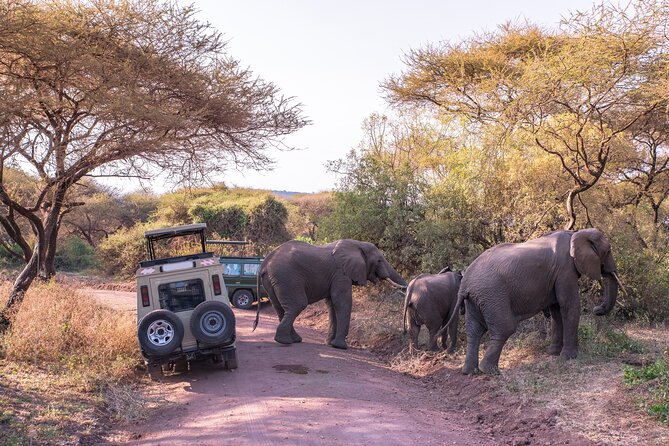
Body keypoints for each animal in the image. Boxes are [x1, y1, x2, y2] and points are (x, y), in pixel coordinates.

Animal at [254, 239, 407, 349]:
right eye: (379, 260)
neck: (358, 244)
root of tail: (265, 262)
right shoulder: (341, 273)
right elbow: (341, 301)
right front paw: (340, 346)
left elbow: (332, 304)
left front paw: (330, 343)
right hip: (287, 278)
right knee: (298, 304)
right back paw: (284, 341)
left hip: (273, 281)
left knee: (280, 308)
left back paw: (294, 340)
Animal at [440, 228, 622, 375]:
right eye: (608, 251)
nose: (597, 309)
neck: (576, 233)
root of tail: (465, 284)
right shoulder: (565, 270)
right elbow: (569, 305)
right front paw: (568, 358)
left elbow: (556, 310)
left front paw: (553, 353)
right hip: (492, 295)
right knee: (505, 328)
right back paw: (490, 371)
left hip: (475, 299)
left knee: (474, 332)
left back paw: (470, 372)